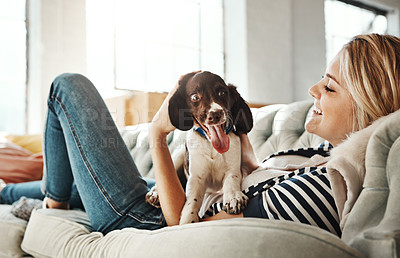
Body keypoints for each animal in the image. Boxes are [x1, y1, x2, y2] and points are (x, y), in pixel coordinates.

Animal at [146, 70, 253, 224]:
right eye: (195, 97)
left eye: (222, 92)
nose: (215, 114)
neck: (211, 145)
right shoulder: (196, 177)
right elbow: (192, 200)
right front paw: (188, 219)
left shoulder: (233, 169)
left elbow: (231, 181)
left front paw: (234, 197)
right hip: (178, 155)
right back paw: (154, 193)